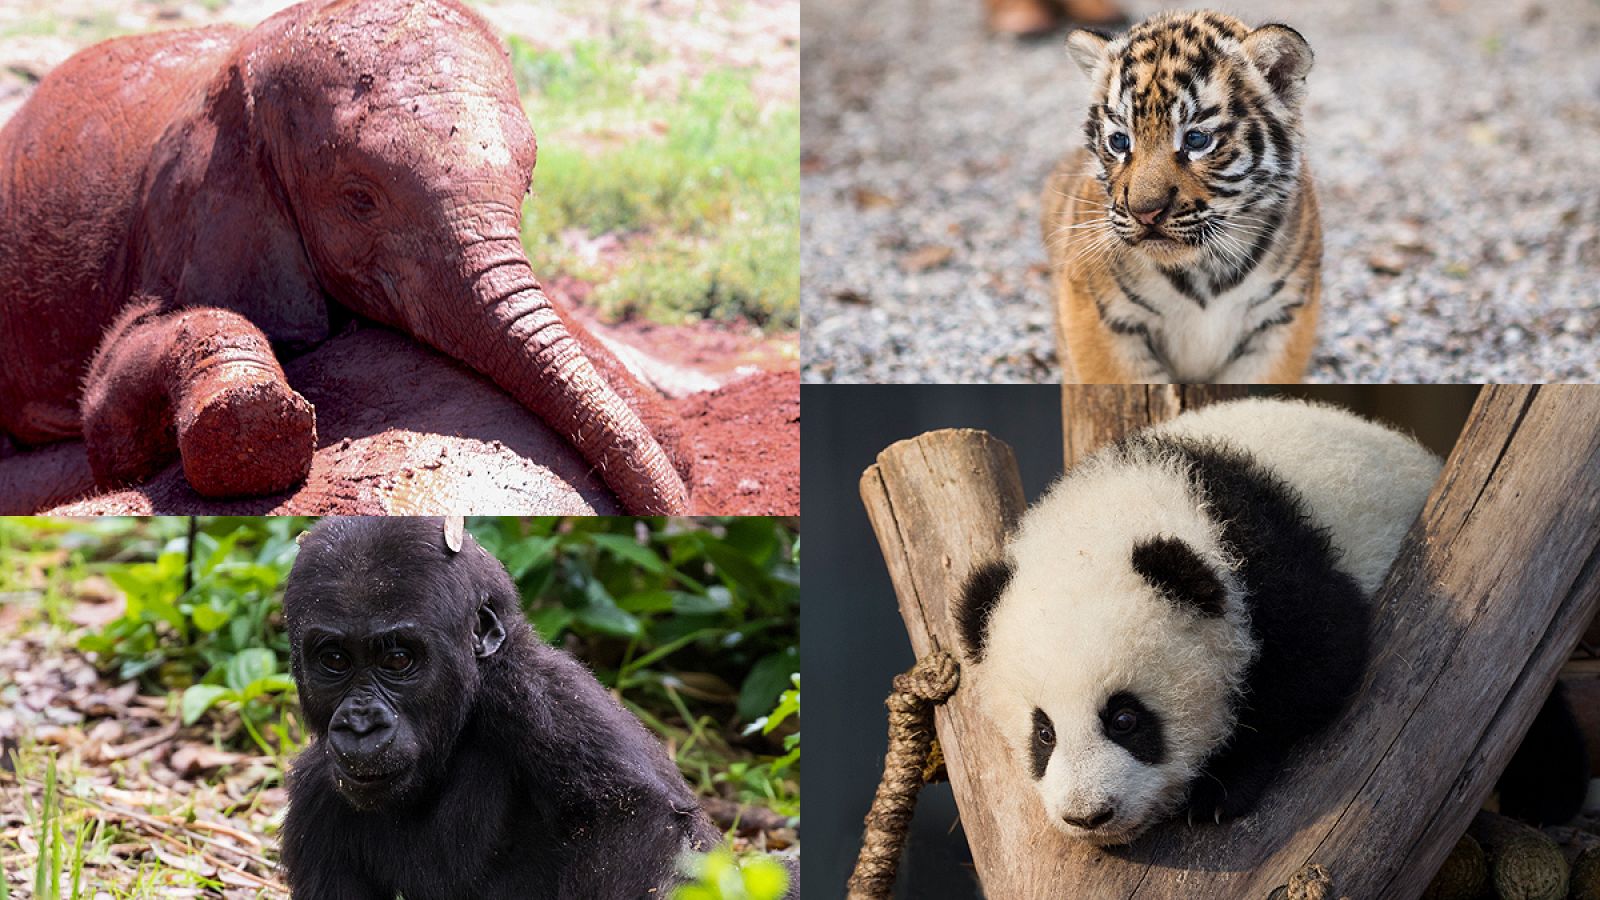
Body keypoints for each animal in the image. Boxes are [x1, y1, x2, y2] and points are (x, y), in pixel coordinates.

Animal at [1041, 11, 1322, 384]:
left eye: (1197, 140)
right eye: (1119, 141)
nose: (1145, 213)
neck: (1205, 268)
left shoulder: (1282, 314)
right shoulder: (1100, 314)